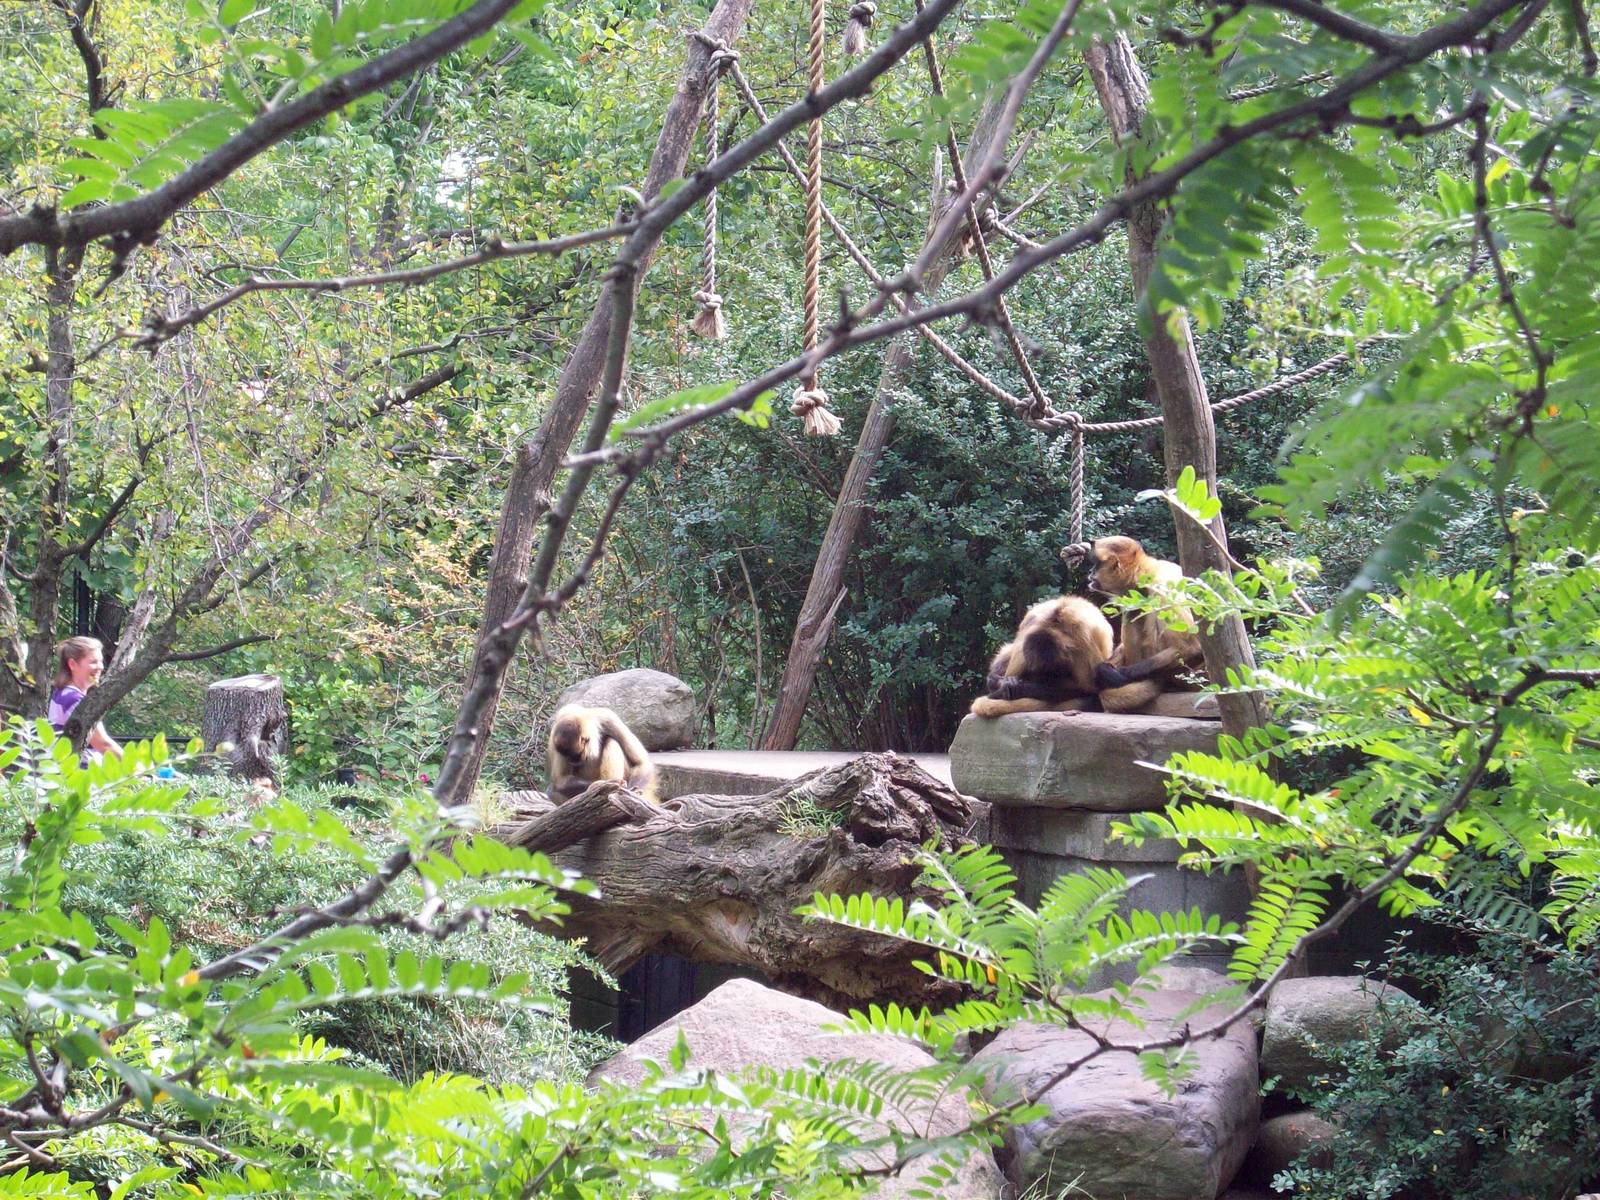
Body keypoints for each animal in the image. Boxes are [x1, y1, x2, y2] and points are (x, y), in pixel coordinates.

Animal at [969, 595, 1182, 718]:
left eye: (1053, 674)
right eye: (1040, 673)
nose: (1042, 681)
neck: (1054, 623)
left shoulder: (1080, 643)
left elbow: (1089, 689)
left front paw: (1014, 687)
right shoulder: (1027, 638)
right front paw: (1004, 684)